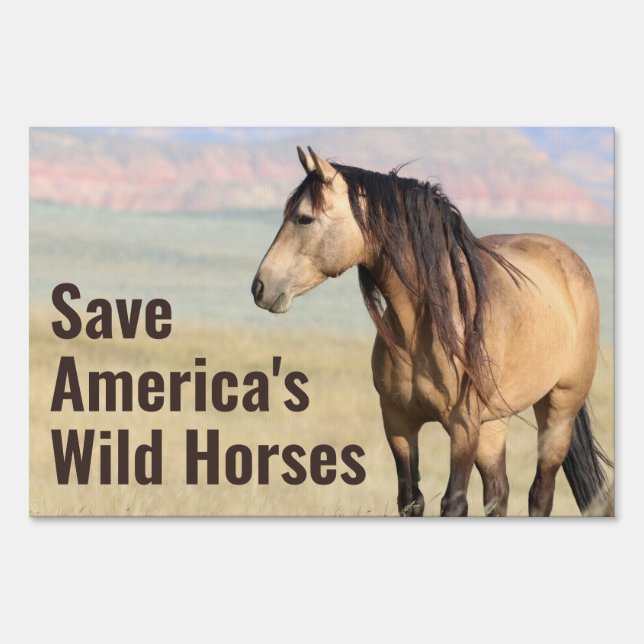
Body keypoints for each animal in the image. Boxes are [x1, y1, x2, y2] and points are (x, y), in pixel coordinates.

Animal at [252, 146, 613, 517]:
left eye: (304, 218)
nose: (260, 286)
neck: (424, 327)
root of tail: (566, 257)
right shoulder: (398, 422)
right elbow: (411, 498)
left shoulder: (463, 427)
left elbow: (454, 502)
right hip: (494, 425)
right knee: (498, 492)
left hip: (558, 410)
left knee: (541, 492)